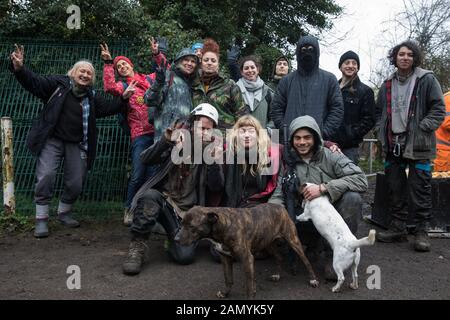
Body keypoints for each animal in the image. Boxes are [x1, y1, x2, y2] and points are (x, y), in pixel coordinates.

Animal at [174, 204, 318, 298]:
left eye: (192, 226)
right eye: (181, 224)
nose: (175, 239)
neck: (223, 225)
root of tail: (281, 207)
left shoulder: (247, 259)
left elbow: (249, 286)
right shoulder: (225, 258)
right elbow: (228, 279)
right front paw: (225, 293)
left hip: (293, 241)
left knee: (307, 262)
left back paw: (313, 280)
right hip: (267, 244)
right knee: (279, 257)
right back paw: (277, 275)